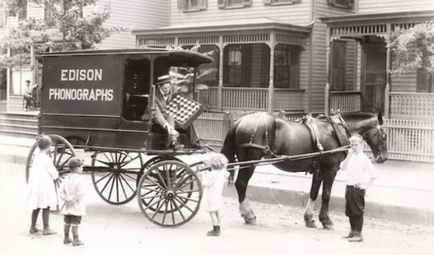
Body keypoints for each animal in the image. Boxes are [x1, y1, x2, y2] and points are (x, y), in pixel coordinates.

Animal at [222, 111, 388, 229]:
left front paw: (310, 218)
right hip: (250, 162)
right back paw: (248, 215)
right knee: (241, 184)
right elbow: (326, 194)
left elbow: (314, 192)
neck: (335, 130)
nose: (384, 158)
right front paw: (326, 221)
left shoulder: (319, 169)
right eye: (384, 135)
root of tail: (240, 120)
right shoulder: (331, 169)